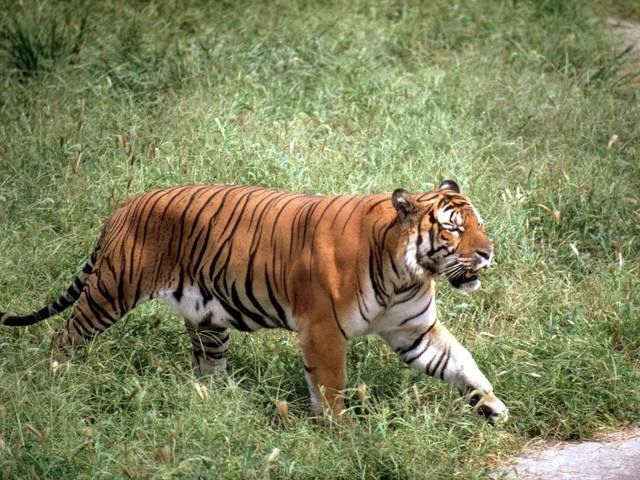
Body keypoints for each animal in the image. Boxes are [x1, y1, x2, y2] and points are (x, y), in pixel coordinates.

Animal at [1, 180, 507, 422]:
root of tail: (125, 205)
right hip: (112, 289)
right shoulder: (323, 330)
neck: (405, 273)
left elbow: (459, 361)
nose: (488, 252)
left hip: (206, 317)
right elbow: (332, 387)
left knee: (207, 367)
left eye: (478, 224)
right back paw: (57, 377)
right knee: (67, 332)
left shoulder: (413, 330)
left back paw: (221, 404)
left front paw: (490, 404)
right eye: (453, 229)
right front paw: (344, 433)